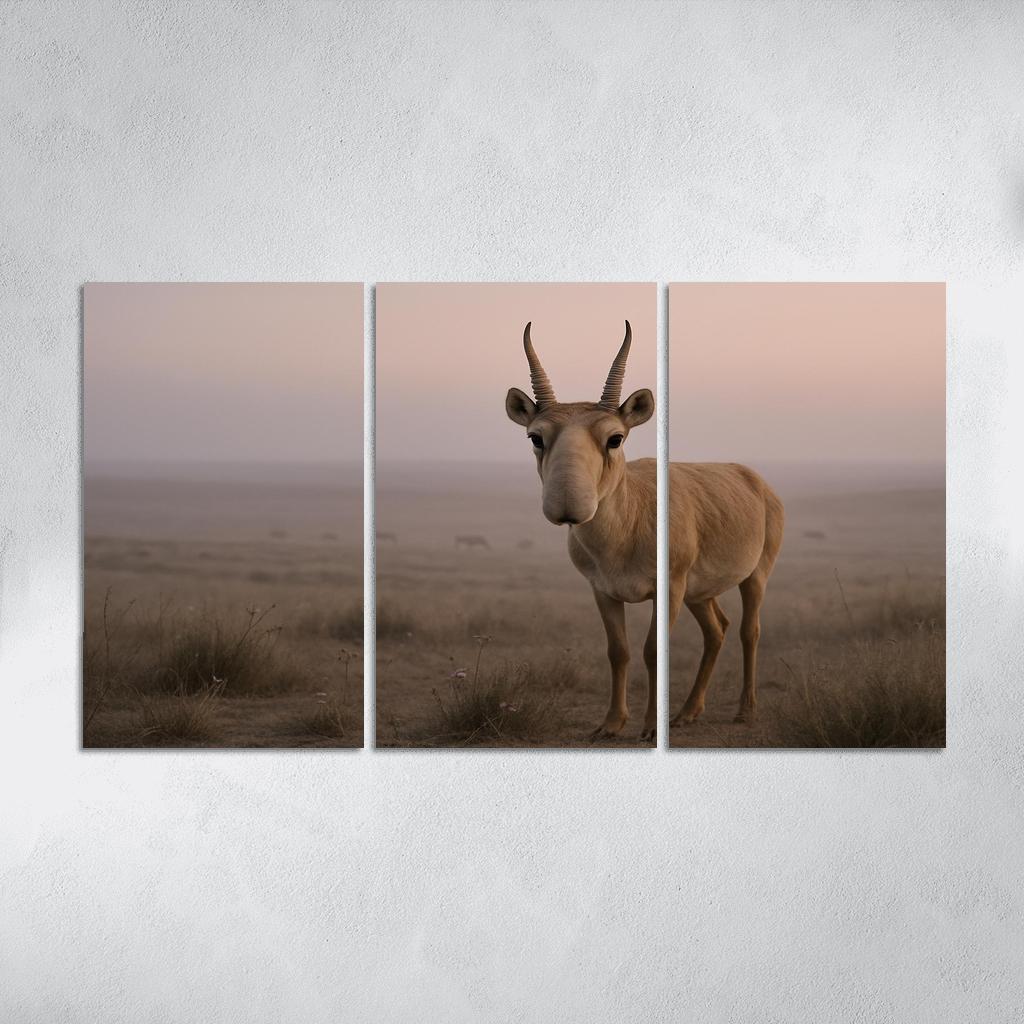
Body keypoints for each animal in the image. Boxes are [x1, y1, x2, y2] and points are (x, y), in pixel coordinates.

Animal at [506, 322, 784, 740]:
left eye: (615, 437)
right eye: (536, 437)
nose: (568, 505)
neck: (625, 531)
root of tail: (754, 481)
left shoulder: (667, 589)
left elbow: (654, 651)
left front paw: (651, 728)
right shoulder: (603, 591)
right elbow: (618, 651)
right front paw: (610, 724)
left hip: (754, 577)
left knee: (749, 630)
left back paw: (744, 712)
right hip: (698, 594)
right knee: (716, 630)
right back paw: (687, 713)